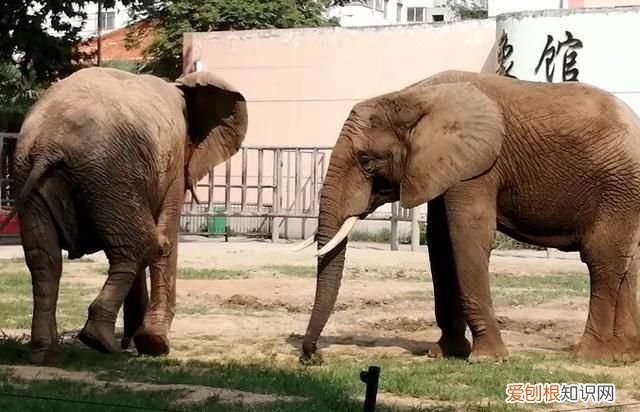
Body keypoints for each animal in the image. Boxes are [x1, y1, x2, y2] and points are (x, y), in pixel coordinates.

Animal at [0, 67, 248, 364]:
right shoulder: (173, 164)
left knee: (44, 260)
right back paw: (99, 341)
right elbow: (165, 241)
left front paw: (137, 342)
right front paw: (154, 346)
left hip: (32, 175)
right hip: (109, 176)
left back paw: (46, 354)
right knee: (143, 244)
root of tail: (49, 145)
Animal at [294, 70, 640, 363]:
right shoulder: (440, 168)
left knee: (602, 258)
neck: (411, 97)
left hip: (618, 186)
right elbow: (441, 245)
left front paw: (487, 359)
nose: (314, 356)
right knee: (627, 262)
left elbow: (466, 236)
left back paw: (589, 356)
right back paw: (624, 356)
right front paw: (444, 354)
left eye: (367, 161)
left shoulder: (478, 166)